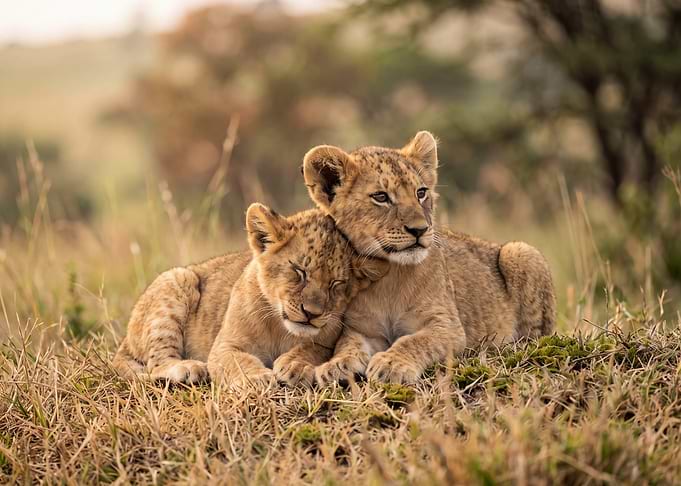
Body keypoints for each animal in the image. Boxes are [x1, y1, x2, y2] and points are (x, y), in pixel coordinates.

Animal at [113, 204, 383, 387]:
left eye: (337, 283)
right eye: (299, 271)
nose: (311, 314)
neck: (280, 327)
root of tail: (123, 343)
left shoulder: (326, 341)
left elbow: (311, 349)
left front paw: (295, 364)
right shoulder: (224, 346)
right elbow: (239, 362)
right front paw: (257, 378)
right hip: (177, 279)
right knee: (156, 364)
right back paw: (188, 369)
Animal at [302, 131, 556, 385]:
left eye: (421, 193)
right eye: (381, 197)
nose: (420, 229)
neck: (390, 277)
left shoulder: (449, 327)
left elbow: (415, 341)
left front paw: (391, 364)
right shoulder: (363, 330)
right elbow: (348, 345)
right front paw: (336, 365)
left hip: (521, 252)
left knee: (534, 336)